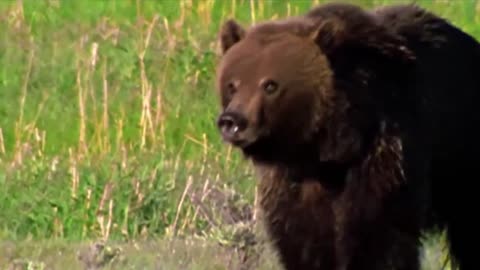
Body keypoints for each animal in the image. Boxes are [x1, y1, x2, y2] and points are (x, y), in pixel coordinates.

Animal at [215, 2, 480, 270]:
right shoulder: (290, 182)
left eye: (270, 84)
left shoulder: (384, 151)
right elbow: (303, 240)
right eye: (232, 85)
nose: (232, 122)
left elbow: (378, 236)